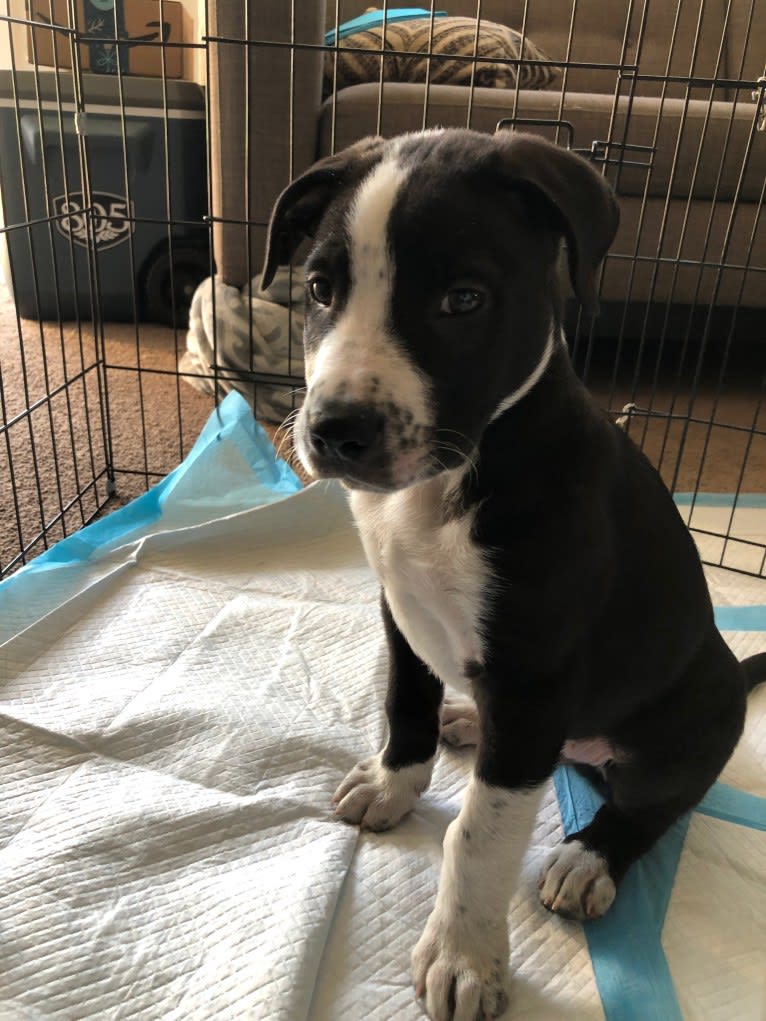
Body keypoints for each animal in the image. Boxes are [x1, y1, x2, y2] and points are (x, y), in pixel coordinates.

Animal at [259, 131, 766, 1021]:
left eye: (463, 300)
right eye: (320, 288)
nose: (334, 429)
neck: (448, 485)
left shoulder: (534, 675)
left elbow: (481, 832)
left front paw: (463, 956)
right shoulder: (400, 613)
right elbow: (404, 705)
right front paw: (395, 781)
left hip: (689, 712)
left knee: (657, 800)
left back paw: (587, 858)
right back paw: (467, 718)